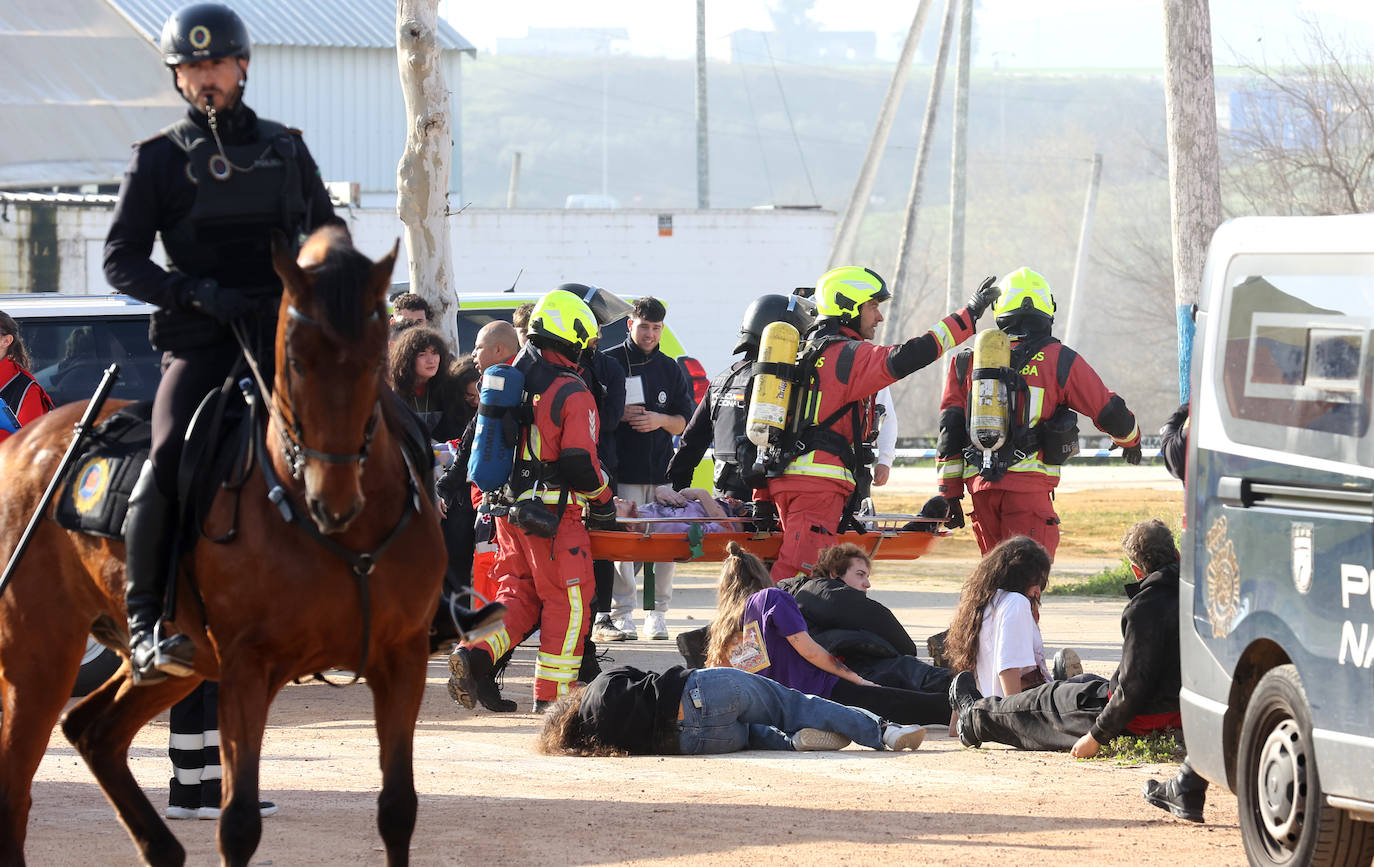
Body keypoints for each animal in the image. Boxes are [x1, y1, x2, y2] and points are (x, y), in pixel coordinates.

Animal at [0, 229, 445, 867]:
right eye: (293, 360)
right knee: (16, 787)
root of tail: (26, 441)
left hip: (175, 663)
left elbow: (398, 810)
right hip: (41, 654)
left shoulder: (401, 659)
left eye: (372, 356)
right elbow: (237, 824)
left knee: (93, 730)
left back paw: (162, 848)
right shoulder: (246, 668)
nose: (331, 496)